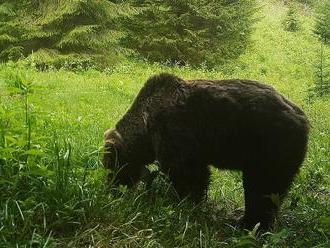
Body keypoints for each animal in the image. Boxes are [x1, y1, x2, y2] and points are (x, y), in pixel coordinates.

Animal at [103, 72, 310, 230]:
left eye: (110, 166)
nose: (111, 189)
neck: (146, 129)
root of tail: (303, 118)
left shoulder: (175, 133)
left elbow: (187, 174)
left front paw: (180, 202)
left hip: (270, 147)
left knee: (263, 188)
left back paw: (248, 224)